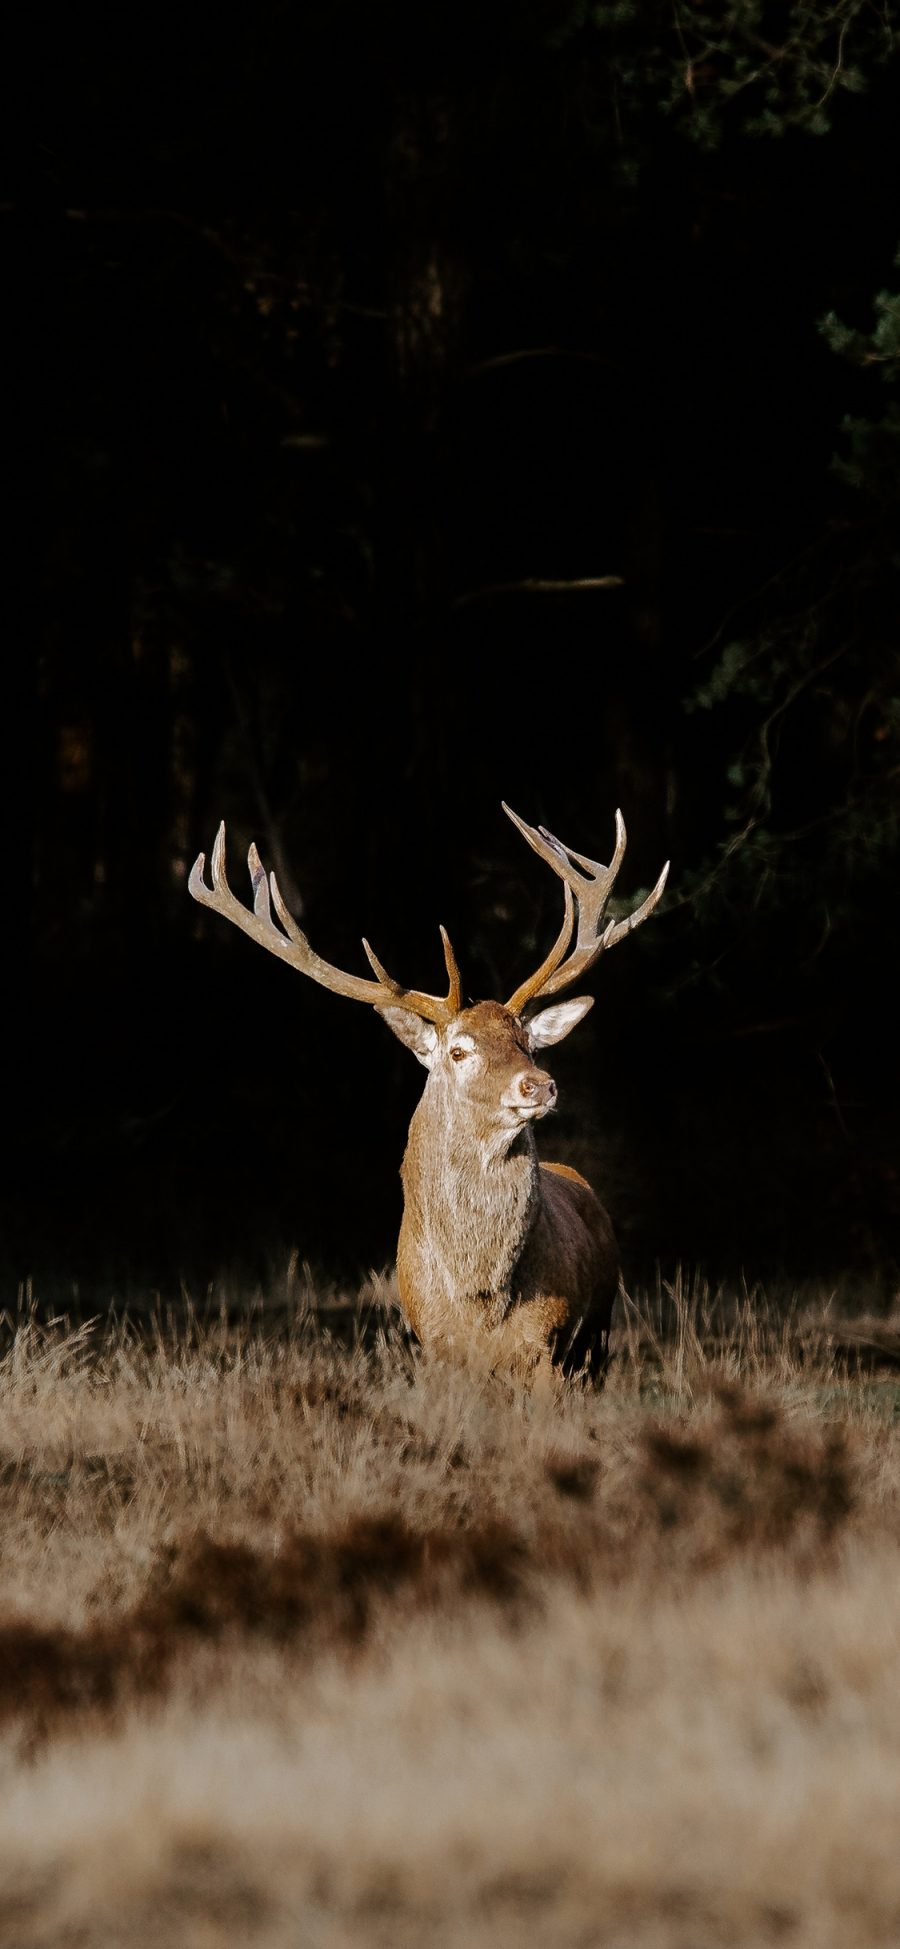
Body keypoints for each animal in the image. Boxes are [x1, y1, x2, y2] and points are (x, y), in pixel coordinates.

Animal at [189, 799, 666, 1379]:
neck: (479, 1303)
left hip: (597, 1337)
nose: (541, 1085)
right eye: (458, 1051)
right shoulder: (436, 1346)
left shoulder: (548, 1346)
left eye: (528, 1043)